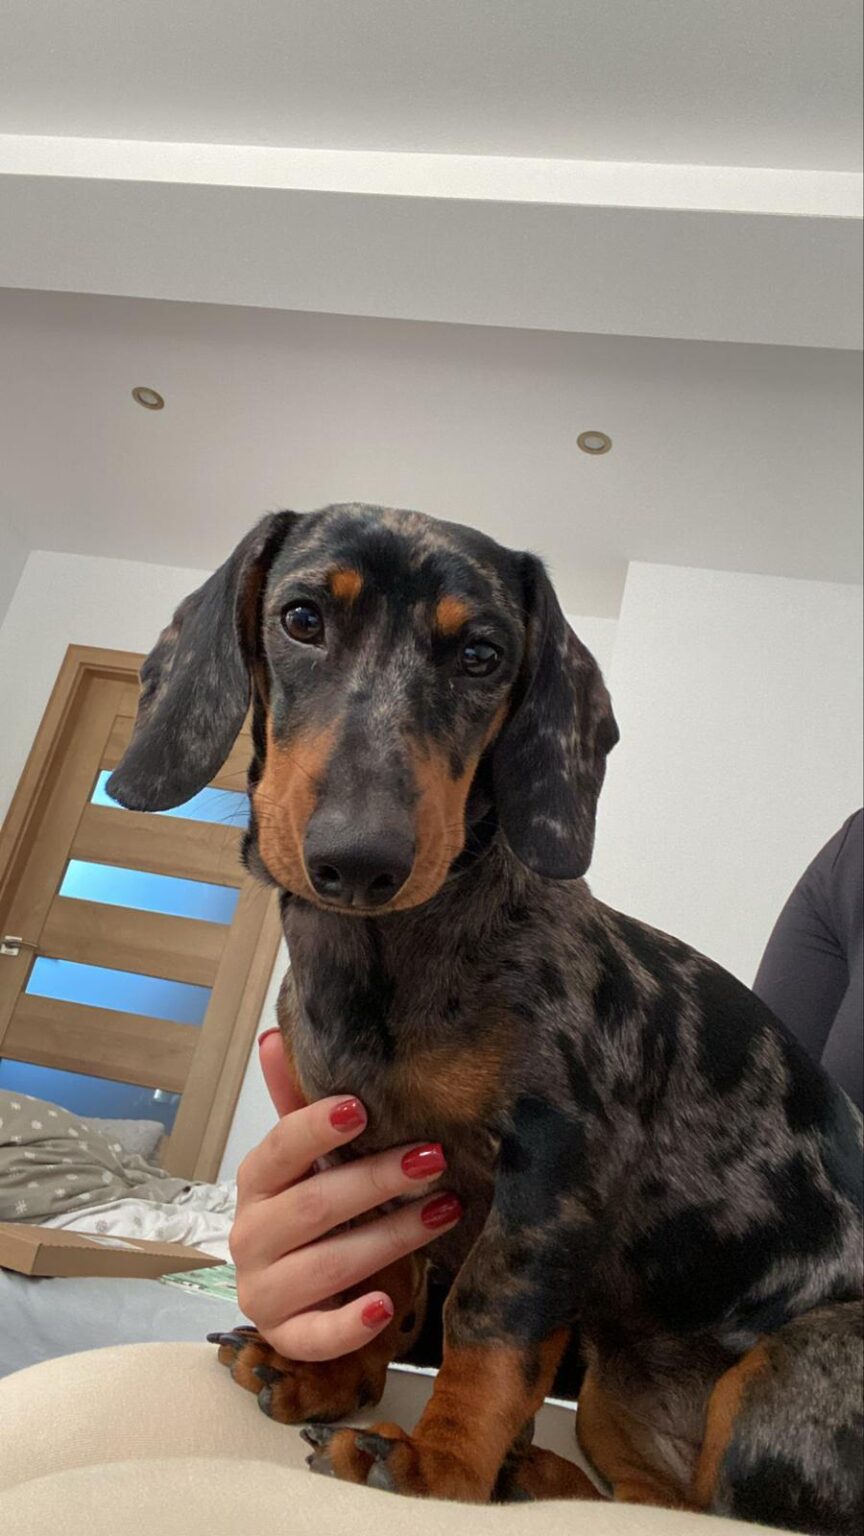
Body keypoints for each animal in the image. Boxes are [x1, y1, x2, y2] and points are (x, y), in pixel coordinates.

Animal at [108, 504, 863, 1528]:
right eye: (302, 618)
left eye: (481, 655)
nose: (360, 860)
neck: (386, 959)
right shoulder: (357, 1145)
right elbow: (376, 1271)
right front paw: (336, 1375)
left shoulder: (552, 1162)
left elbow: (487, 1319)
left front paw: (442, 1466)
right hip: (617, 1388)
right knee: (652, 1497)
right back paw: (532, 1474)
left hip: (784, 1367)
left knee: (731, 1509)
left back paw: (505, 1472)